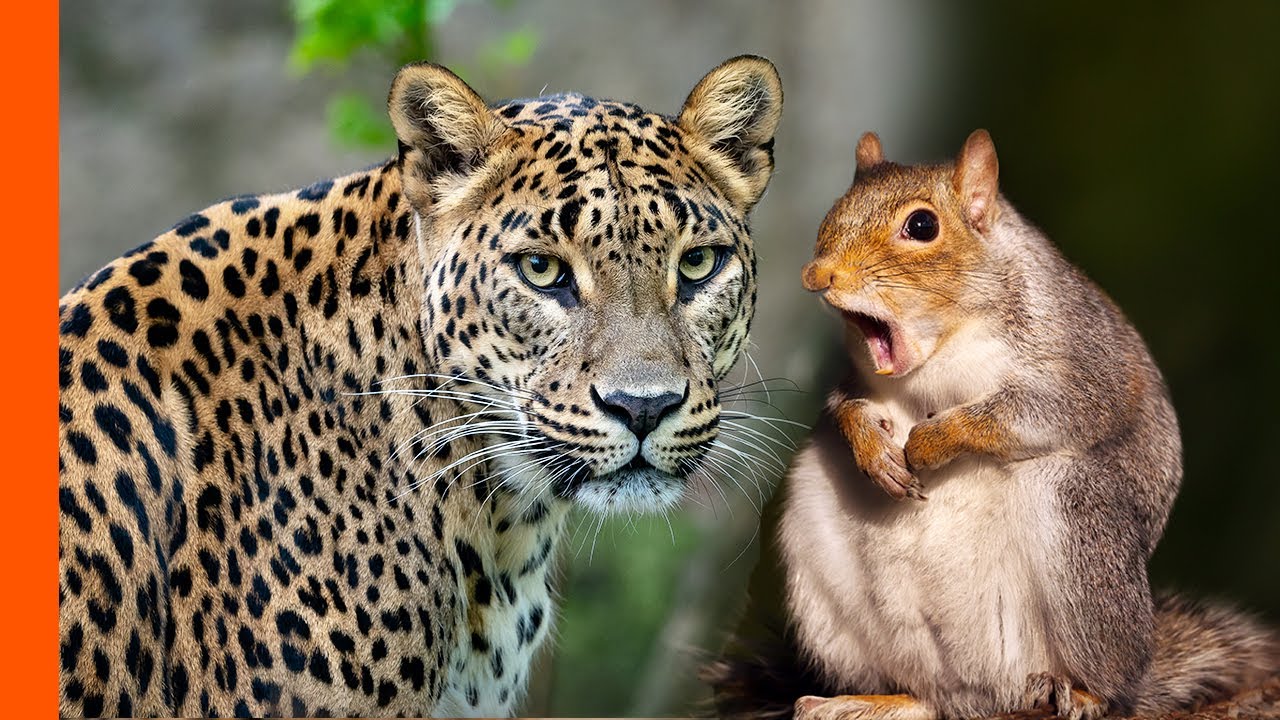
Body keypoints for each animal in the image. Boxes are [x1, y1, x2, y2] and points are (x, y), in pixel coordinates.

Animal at [704, 130, 1277, 720]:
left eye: (922, 226)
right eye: (834, 209)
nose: (817, 275)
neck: (942, 346)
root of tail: (984, 691)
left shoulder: (1084, 368)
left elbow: (1032, 412)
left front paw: (931, 443)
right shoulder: (853, 377)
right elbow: (844, 406)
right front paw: (874, 450)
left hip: (1079, 523)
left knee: (1111, 681)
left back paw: (1083, 691)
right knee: (927, 697)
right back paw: (874, 700)